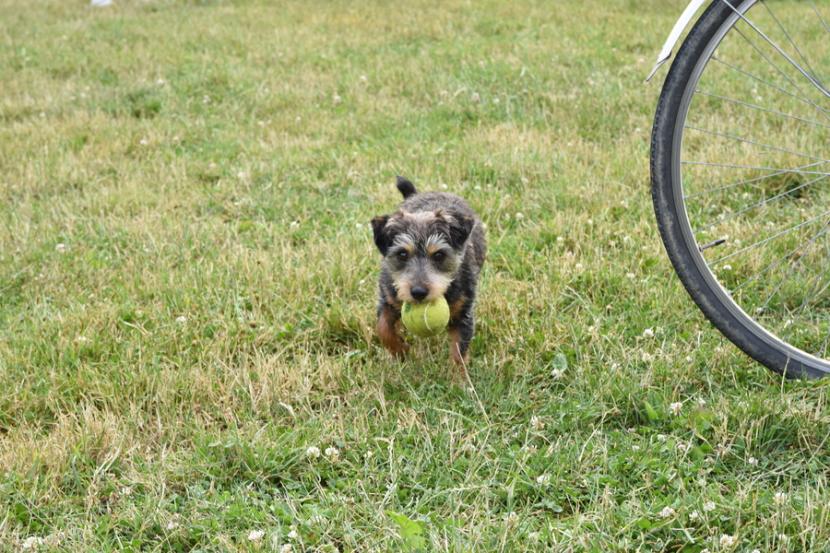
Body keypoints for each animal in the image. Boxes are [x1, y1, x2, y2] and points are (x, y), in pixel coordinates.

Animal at [372, 177, 488, 376]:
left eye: (439, 255)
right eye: (402, 254)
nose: (418, 292)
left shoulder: (464, 313)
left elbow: (459, 352)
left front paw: (460, 381)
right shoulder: (387, 298)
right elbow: (383, 328)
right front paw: (401, 350)